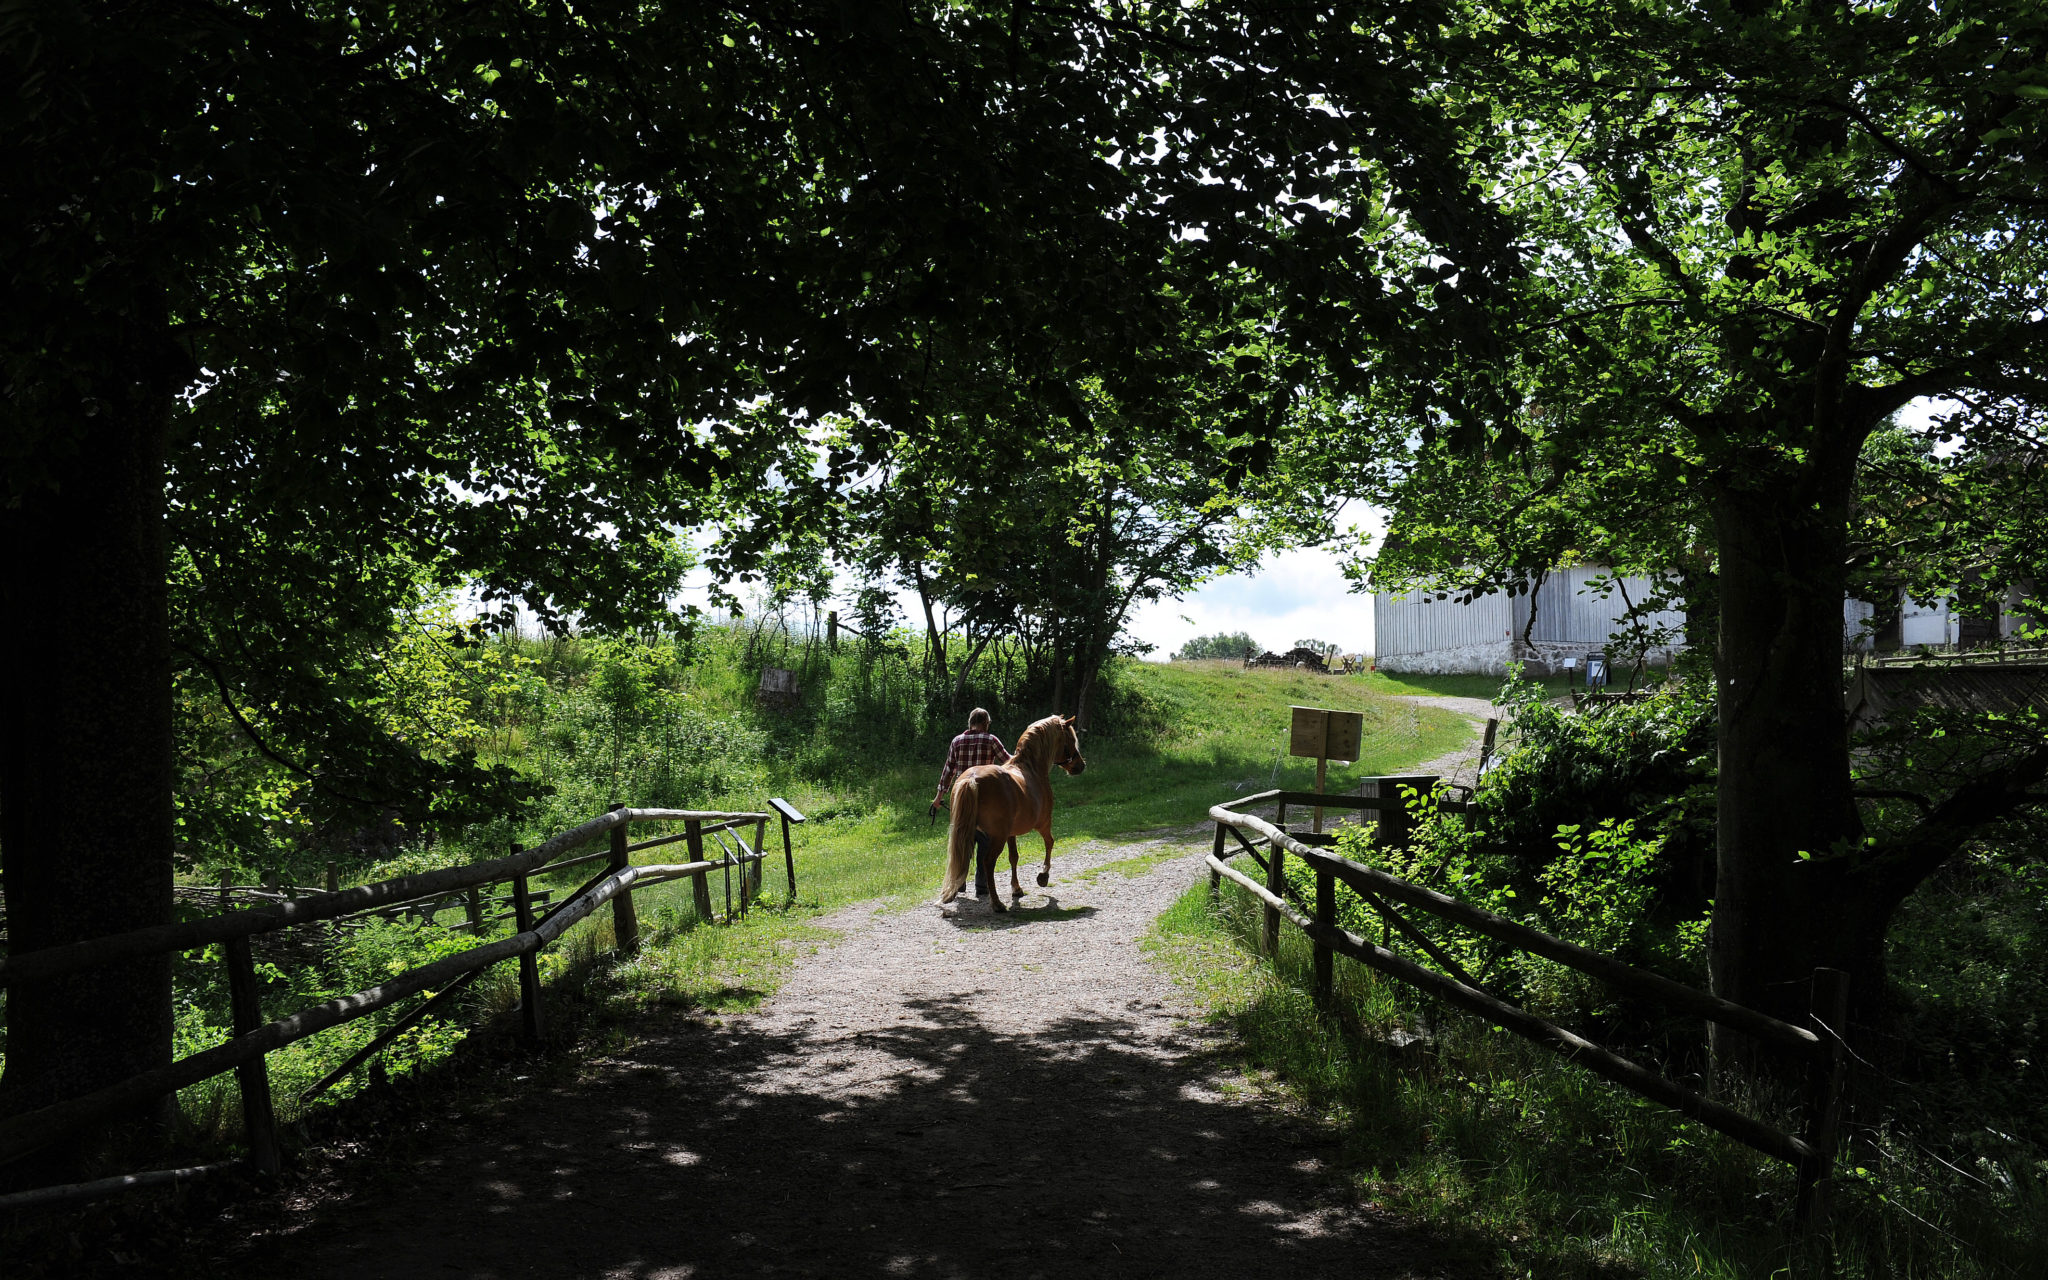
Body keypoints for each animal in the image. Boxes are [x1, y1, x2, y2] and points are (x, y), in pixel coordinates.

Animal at [937, 708, 1081, 909]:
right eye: (1070, 739)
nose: (1080, 765)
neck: (1031, 768)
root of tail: (971, 780)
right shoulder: (1043, 823)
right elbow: (1050, 842)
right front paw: (1043, 876)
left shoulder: (1011, 834)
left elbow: (1014, 856)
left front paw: (1016, 888)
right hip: (997, 837)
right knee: (988, 862)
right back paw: (997, 903)